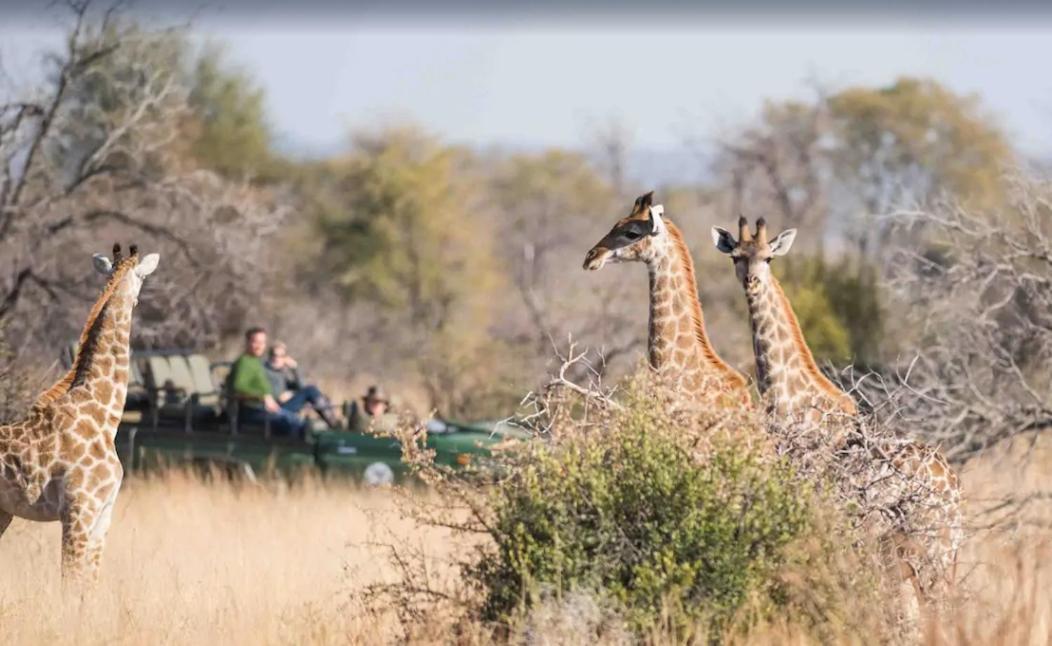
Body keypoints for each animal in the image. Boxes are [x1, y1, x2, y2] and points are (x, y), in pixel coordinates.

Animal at [0, 243, 159, 580]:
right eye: (142, 279)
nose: (139, 302)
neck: (102, 414)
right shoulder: (78, 511)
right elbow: (71, 582)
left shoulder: (104, 515)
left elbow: (90, 584)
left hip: (3, 511)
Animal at [711, 218, 963, 606]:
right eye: (736, 256)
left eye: (769, 258)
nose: (751, 282)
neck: (792, 400)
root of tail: (955, 489)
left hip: (934, 544)